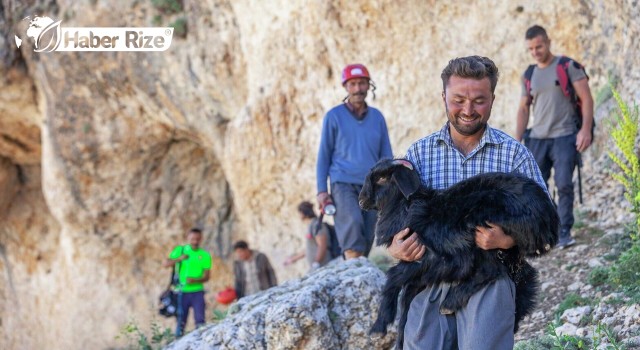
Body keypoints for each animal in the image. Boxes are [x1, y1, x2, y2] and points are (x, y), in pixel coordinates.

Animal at [360, 159, 560, 348]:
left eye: (382, 178)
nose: (361, 200)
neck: (405, 209)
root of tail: (548, 217)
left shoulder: (434, 258)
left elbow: (393, 277)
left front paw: (378, 329)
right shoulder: (421, 270)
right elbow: (406, 300)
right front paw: (399, 340)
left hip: (485, 231)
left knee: (491, 270)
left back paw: (450, 302)